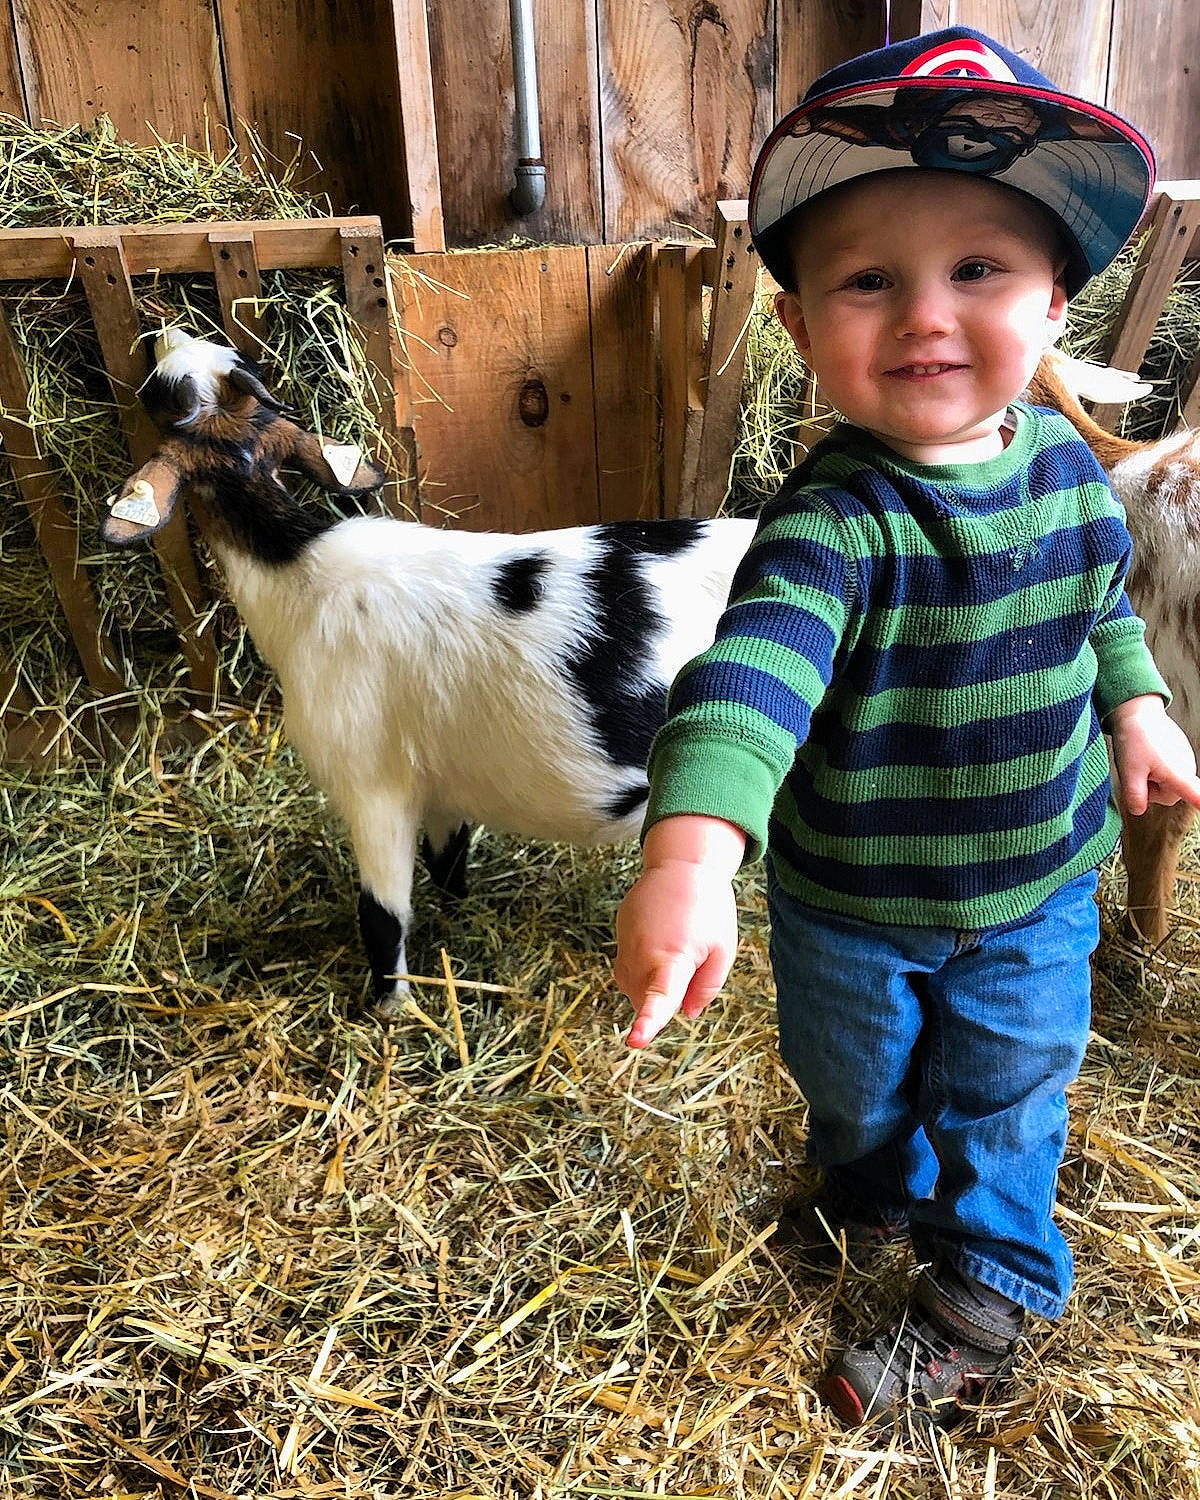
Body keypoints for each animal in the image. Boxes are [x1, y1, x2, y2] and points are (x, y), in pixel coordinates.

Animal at [102, 330, 756, 1011]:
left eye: (158, 392)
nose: (161, 336)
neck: (298, 572)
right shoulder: (440, 782)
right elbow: (447, 860)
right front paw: (459, 912)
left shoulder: (373, 787)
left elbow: (382, 916)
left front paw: (392, 1009)